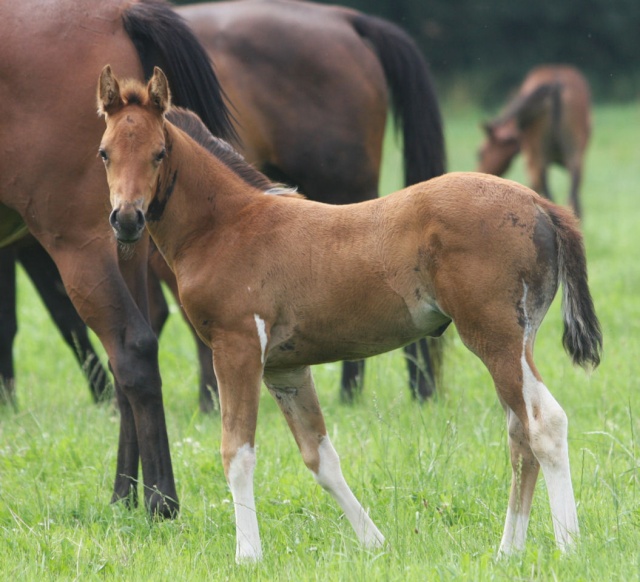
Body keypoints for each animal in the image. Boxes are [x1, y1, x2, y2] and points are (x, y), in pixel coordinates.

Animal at [0, 0, 238, 520]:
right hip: (126, 246)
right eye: (105, 153)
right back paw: (123, 496)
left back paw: (159, 500)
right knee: (130, 351)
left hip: (82, 247)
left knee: (132, 348)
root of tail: (118, 12)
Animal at [480, 64, 592, 219]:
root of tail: (555, 84)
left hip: (539, 152)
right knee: (572, 199)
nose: (481, 172)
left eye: (480, 153)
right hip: (573, 152)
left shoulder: (530, 157)